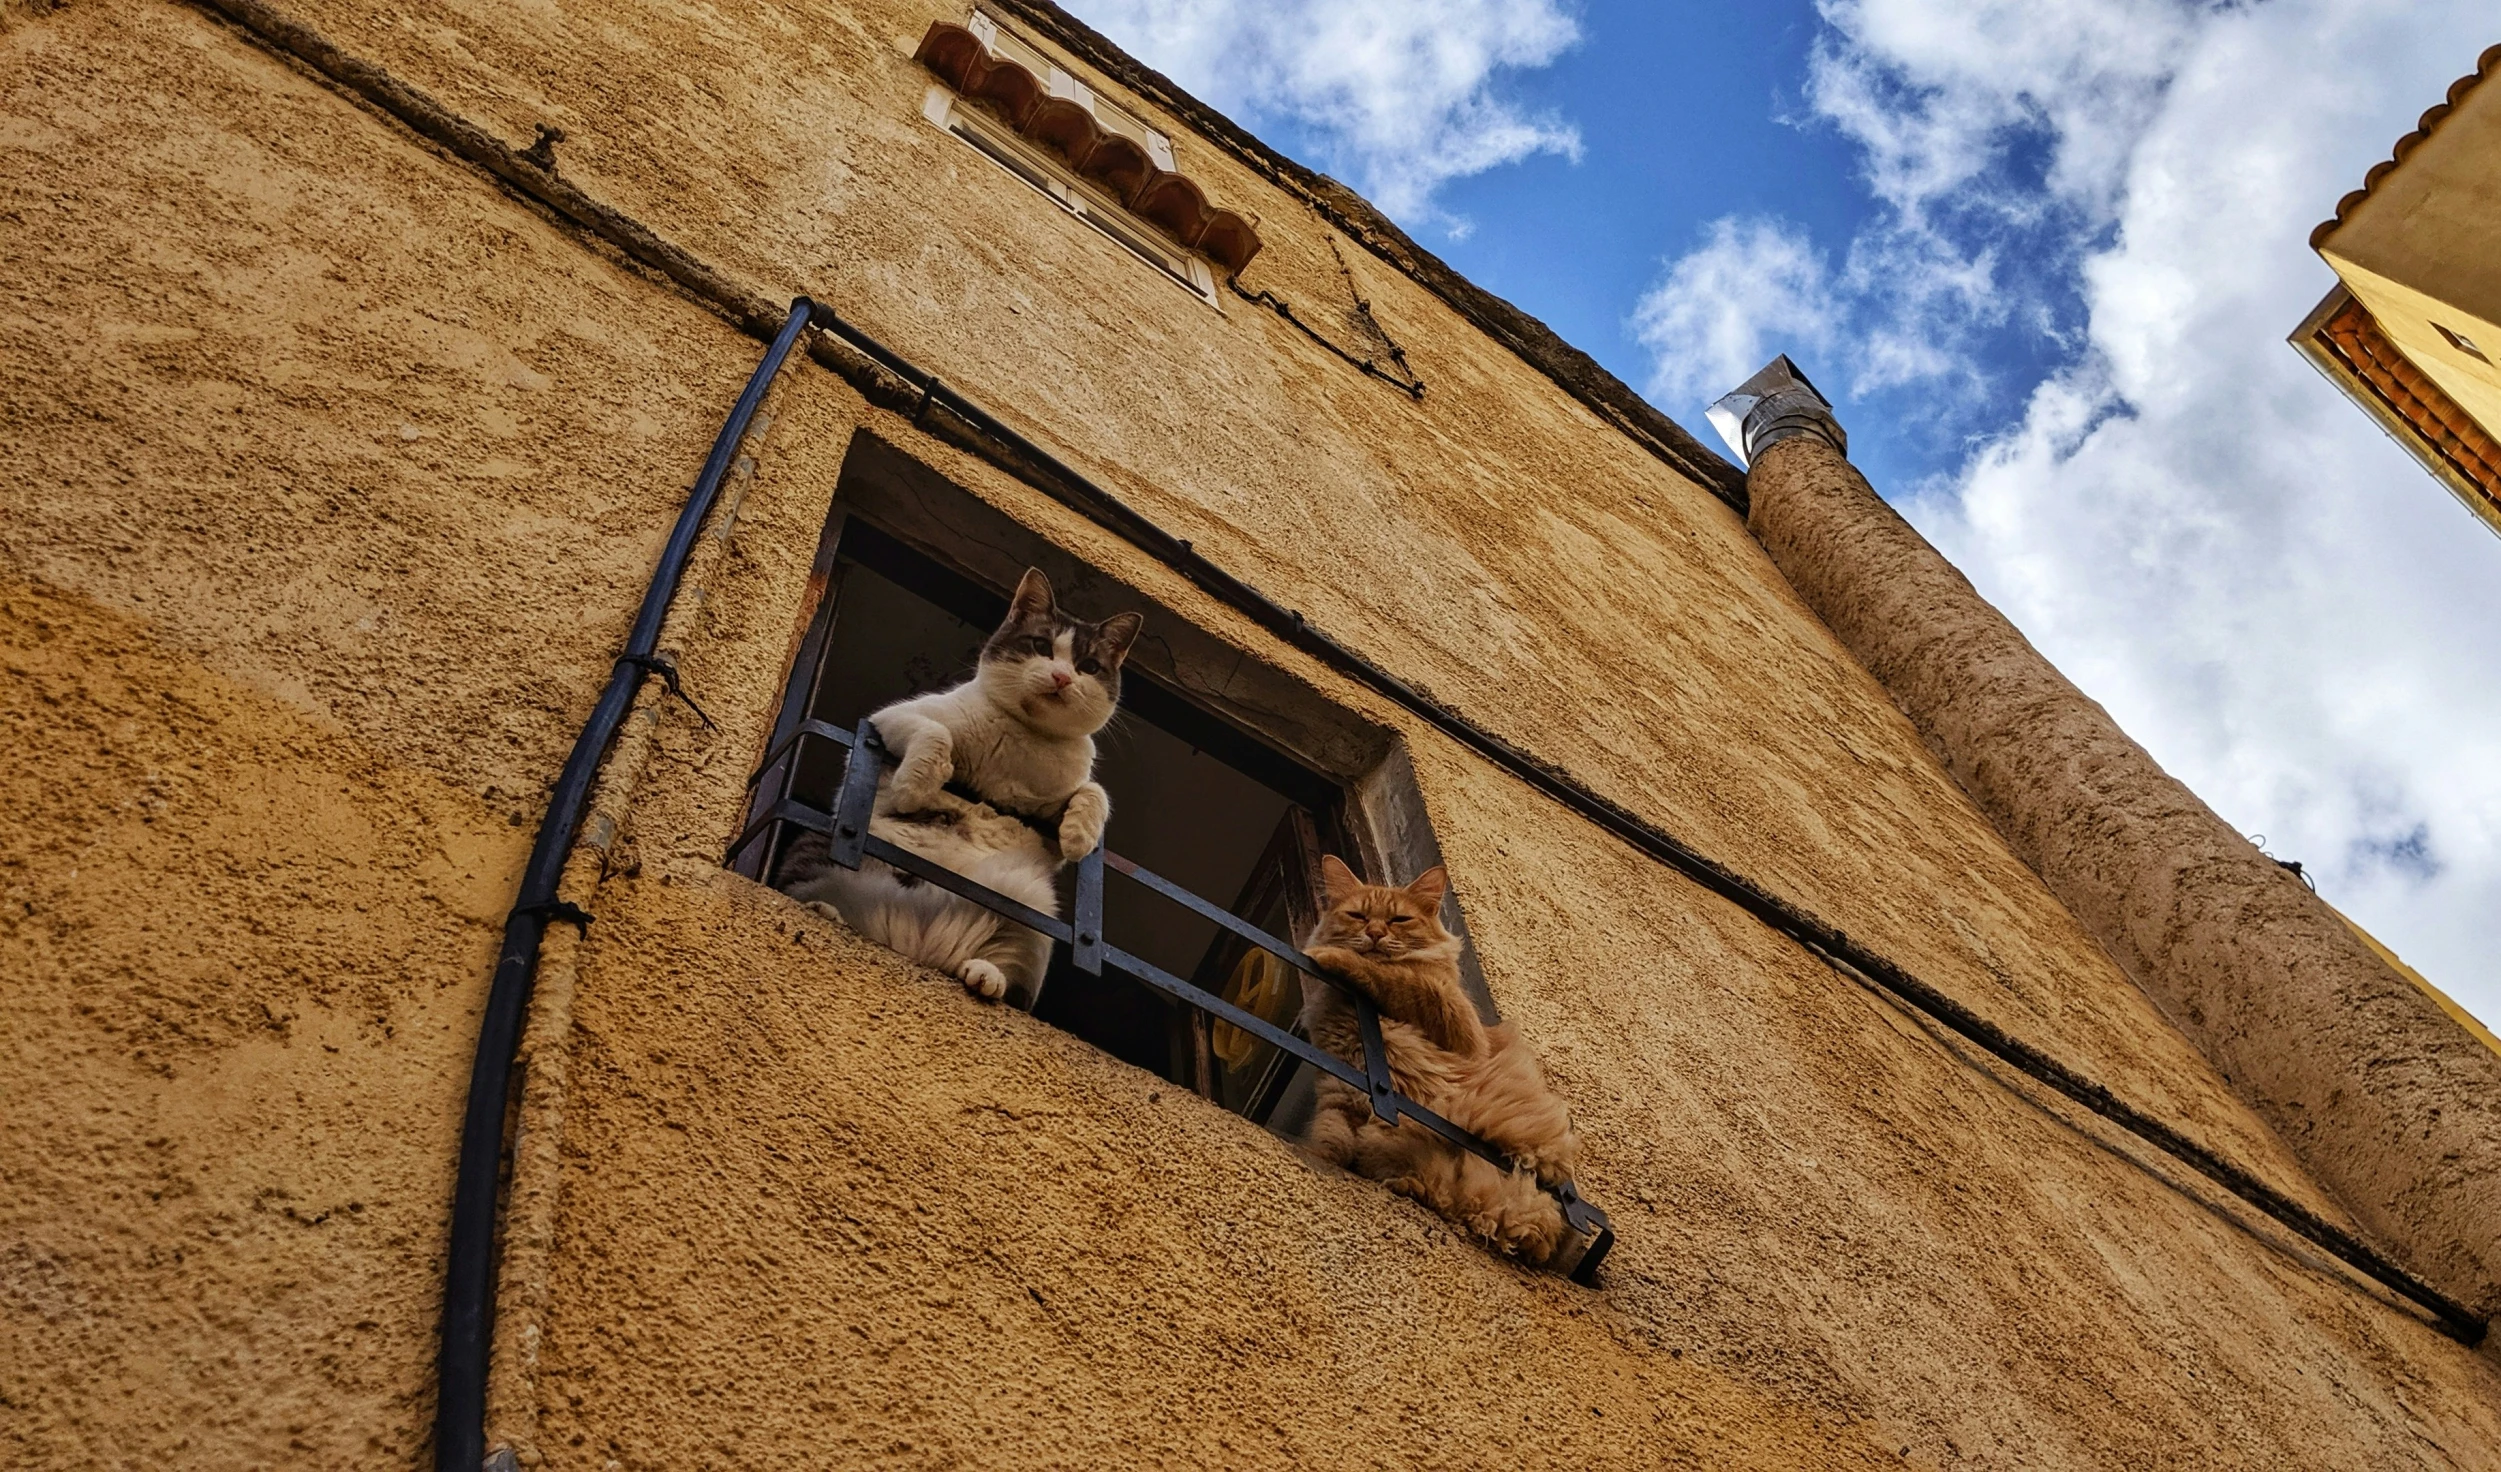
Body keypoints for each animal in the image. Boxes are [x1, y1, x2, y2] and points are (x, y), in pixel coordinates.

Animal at [790, 567, 1145, 1004]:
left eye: (1089, 666)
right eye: (1041, 645)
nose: (1062, 677)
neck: (1024, 737)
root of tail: (916, 947)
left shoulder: (1053, 819)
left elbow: (1093, 791)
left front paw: (1080, 835)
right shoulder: (887, 719)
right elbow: (934, 733)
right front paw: (914, 786)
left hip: (1032, 912)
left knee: (1014, 989)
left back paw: (985, 975)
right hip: (823, 846)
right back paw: (825, 911)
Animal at [1290, 854, 1580, 1269]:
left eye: (1399, 920)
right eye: (1358, 916)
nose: (1375, 933)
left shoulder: (1458, 1024)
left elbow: (1396, 976)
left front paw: (1333, 957)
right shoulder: (1340, 1092)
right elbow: (1331, 1137)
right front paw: (1319, 1157)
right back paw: (1409, 1185)